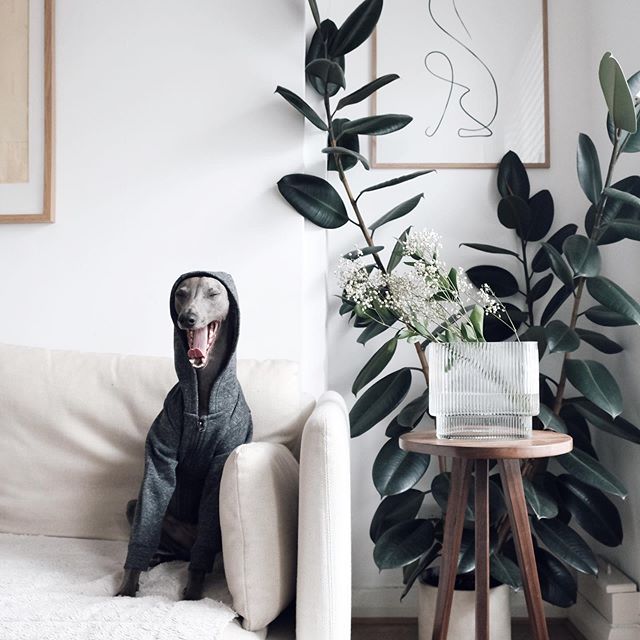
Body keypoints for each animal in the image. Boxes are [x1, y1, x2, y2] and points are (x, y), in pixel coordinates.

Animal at [115, 274, 252, 600]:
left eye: (213, 293)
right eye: (181, 294)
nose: (187, 318)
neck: (203, 395)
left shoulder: (221, 463)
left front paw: (192, 593)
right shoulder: (160, 454)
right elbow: (151, 501)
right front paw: (128, 586)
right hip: (134, 506)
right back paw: (156, 557)